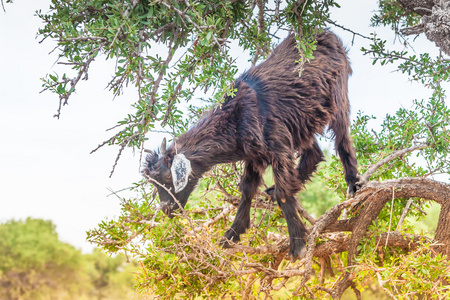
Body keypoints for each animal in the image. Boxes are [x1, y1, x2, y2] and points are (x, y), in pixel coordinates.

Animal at [142, 29, 360, 260]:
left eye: (168, 176)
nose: (166, 209)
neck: (234, 118)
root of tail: (326, 34)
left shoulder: (278, 148)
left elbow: (284, 193)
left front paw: (298, 244)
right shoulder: (254, 156)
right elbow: (247, 189)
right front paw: (232, 234)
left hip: (337, 95)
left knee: (342, 139)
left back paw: (353, 184)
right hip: (302, 120)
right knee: (314, 153)